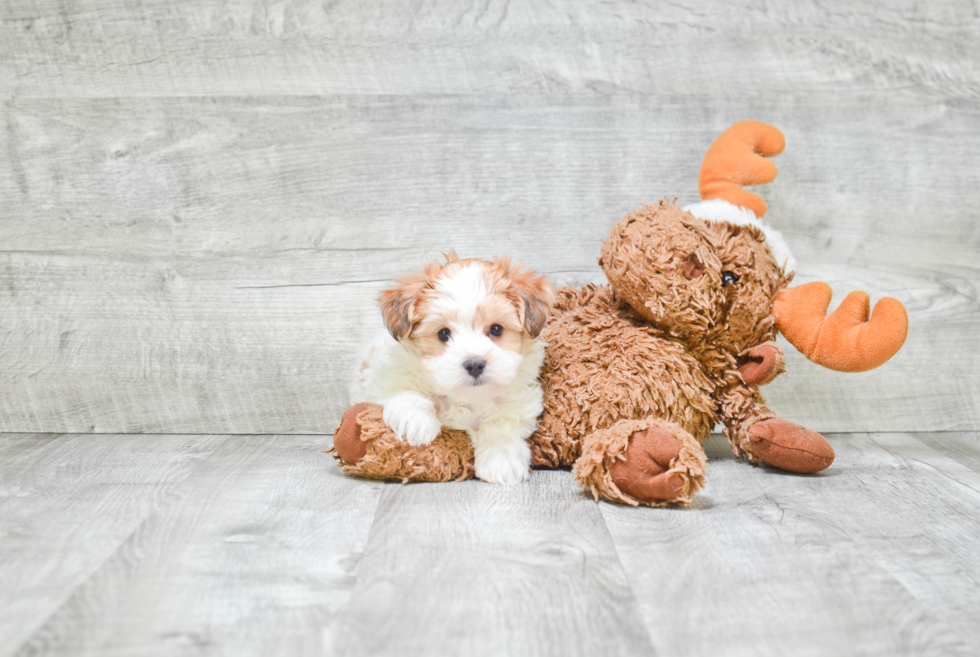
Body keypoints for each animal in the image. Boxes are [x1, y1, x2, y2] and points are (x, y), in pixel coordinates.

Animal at [350, 254, 552, 484]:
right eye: (443, 334)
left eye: (496, 329)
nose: (474, 364)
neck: (467, 398)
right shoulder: (379, 378)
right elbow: (404, 391)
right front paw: (416, 420)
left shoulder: (520, 401)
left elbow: (502, 422)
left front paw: (501, 458)